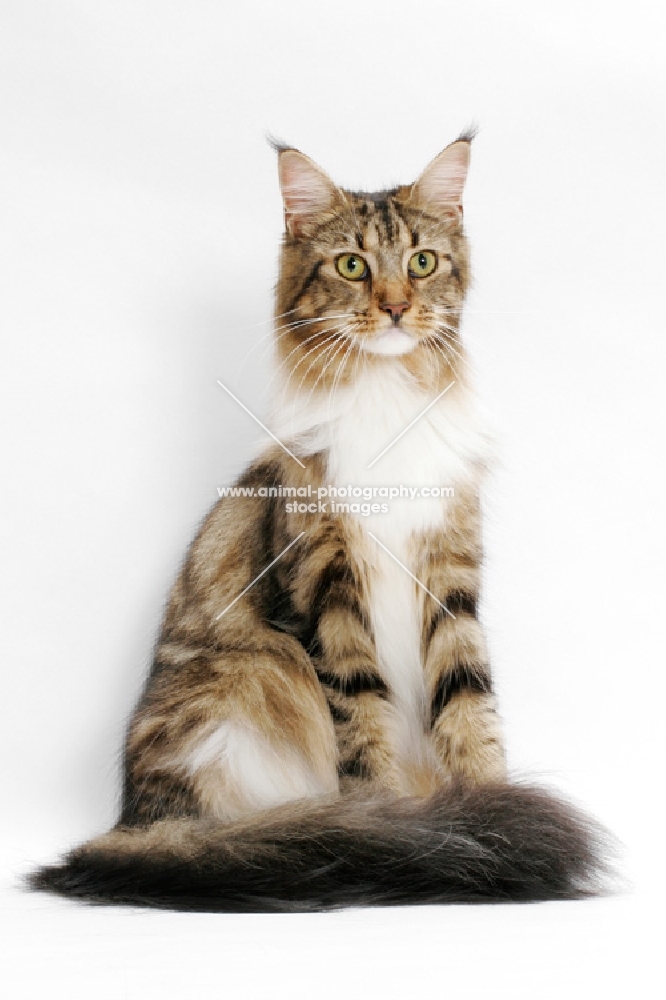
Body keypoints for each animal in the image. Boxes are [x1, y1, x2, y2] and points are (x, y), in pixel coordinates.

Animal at [29, 129, 608, 912]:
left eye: (422, 263)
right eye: (352, 265)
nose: (394, 307)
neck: (388, 401)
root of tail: (136, 823)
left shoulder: (450, 574)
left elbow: (469, 707)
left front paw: (488, 809)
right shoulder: (326, 591)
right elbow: (362, 723)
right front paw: (408, 828)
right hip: (252, 673)